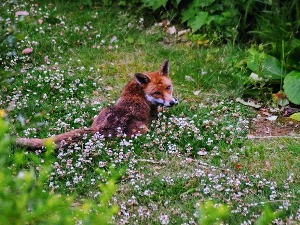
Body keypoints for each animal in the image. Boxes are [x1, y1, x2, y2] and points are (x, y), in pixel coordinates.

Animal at [15, 59, 176, 149]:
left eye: (168, 87)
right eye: (157, 93)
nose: (172, 102)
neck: (139, 90)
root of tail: (100, 128)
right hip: (143, 130)